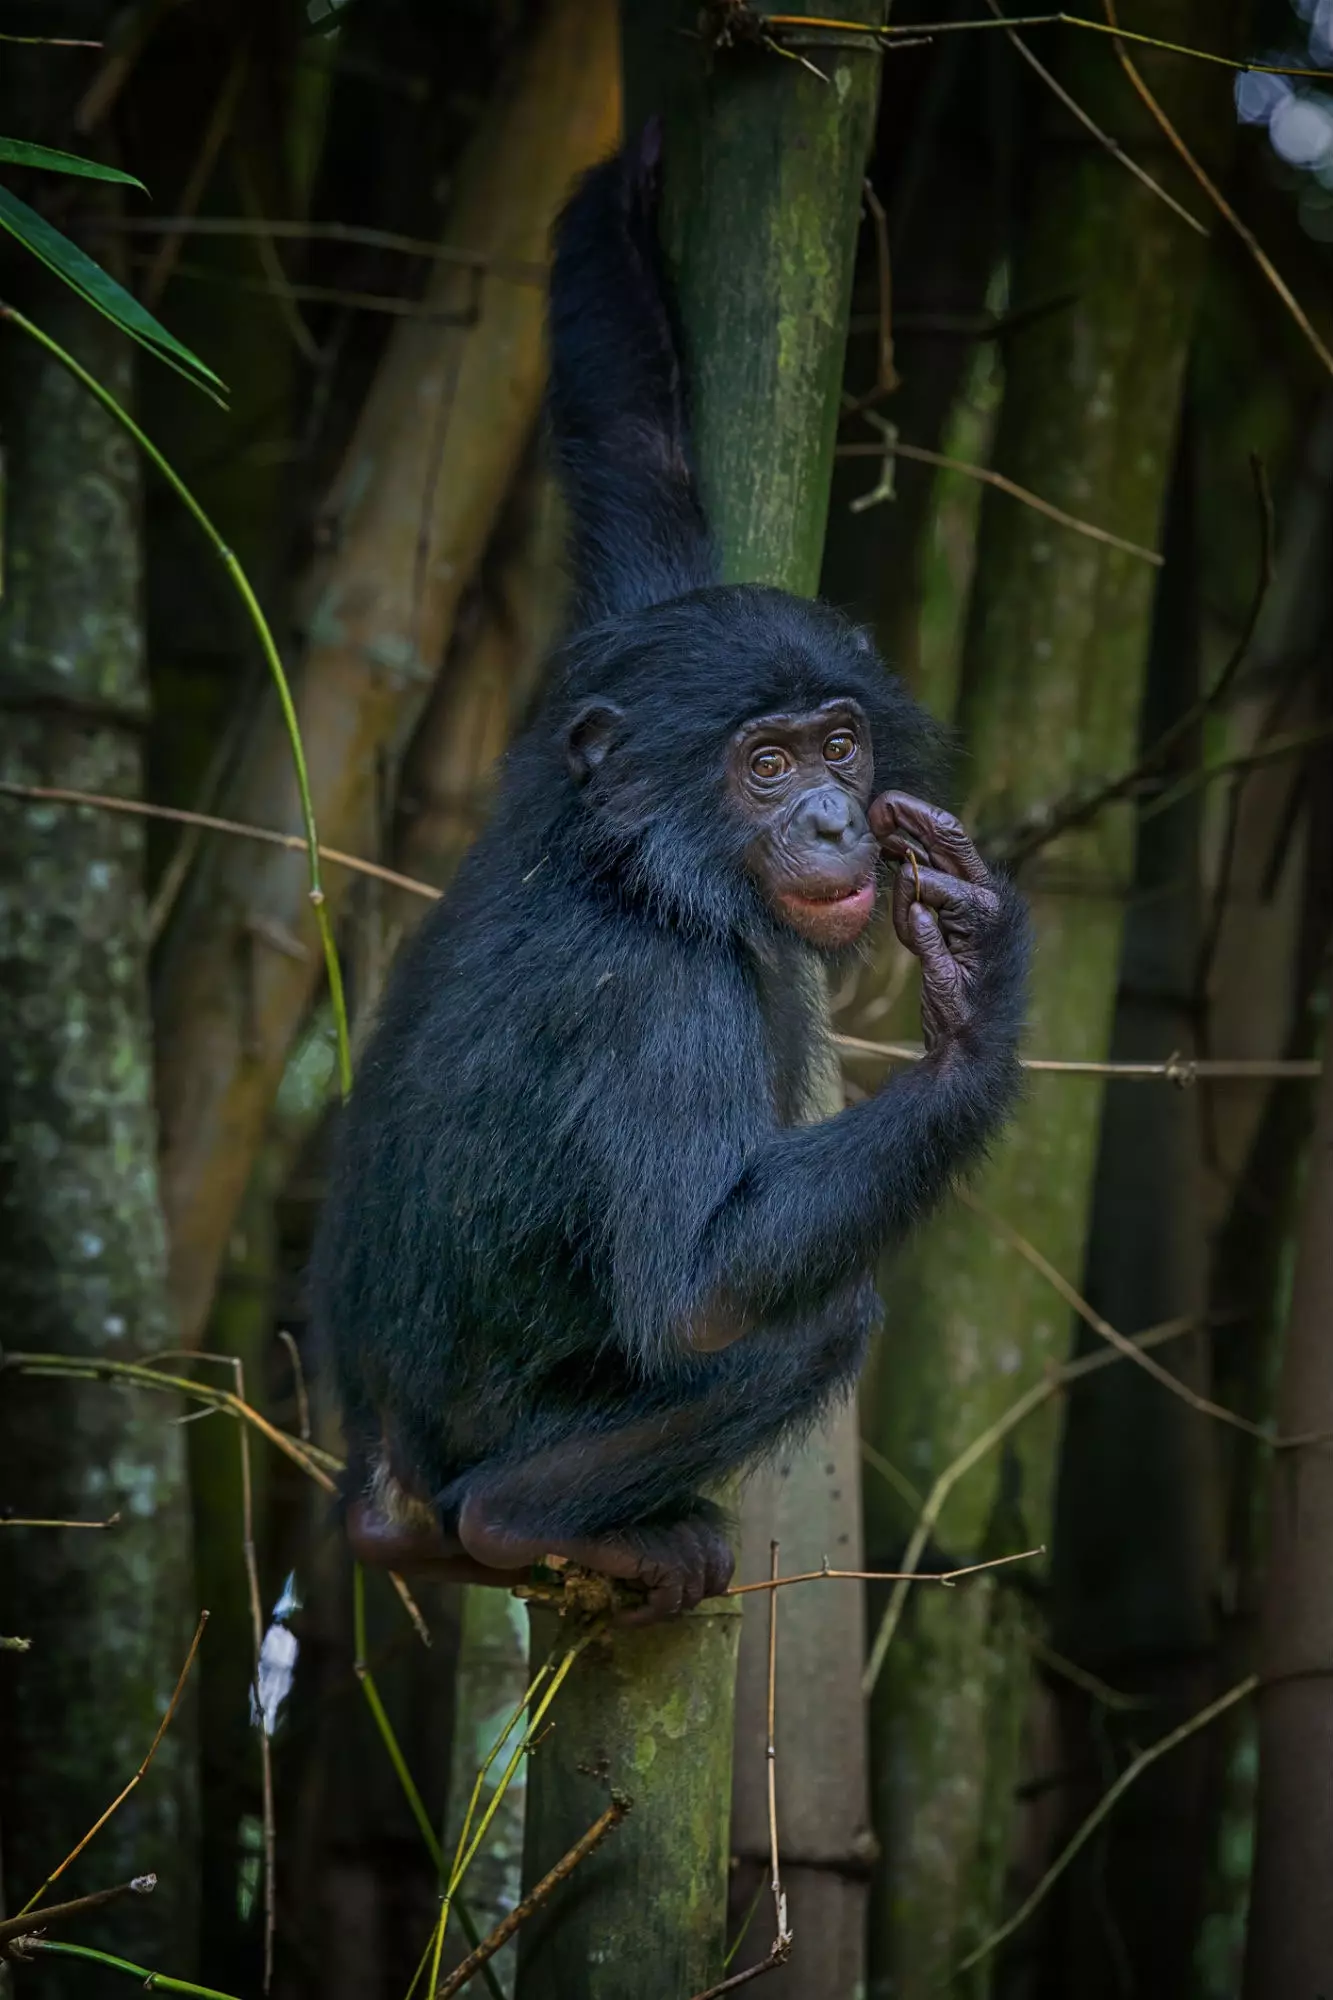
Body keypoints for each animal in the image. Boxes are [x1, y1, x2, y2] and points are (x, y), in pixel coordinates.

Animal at [312, 133, 1024, 1616]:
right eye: (764, 764)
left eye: (837, 740)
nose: (831, 814)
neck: (640, 865)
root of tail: (387, 1468)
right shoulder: (656, 1002)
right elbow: (698, 1284)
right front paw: (973, 1001)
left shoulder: (619, 655)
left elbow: (632, 453)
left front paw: (623, 199)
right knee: (811, 1319)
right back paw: (537, 1520)